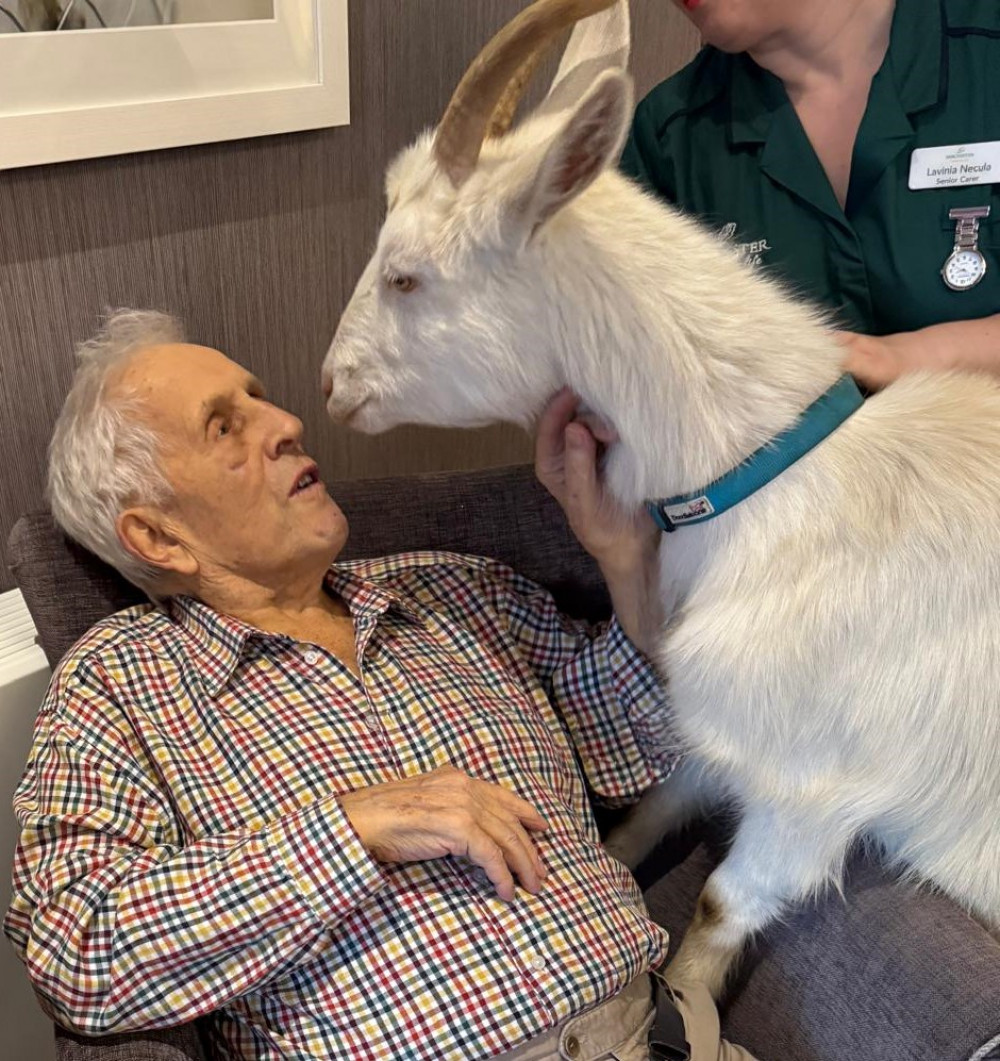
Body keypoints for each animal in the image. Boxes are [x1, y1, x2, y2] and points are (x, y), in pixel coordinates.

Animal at [322, 0, 1000, 996]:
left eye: (406, 274)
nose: (332, 385)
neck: (776, 489)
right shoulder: (714, 741)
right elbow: (645, 811)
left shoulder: (811, 795)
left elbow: (718, 910)